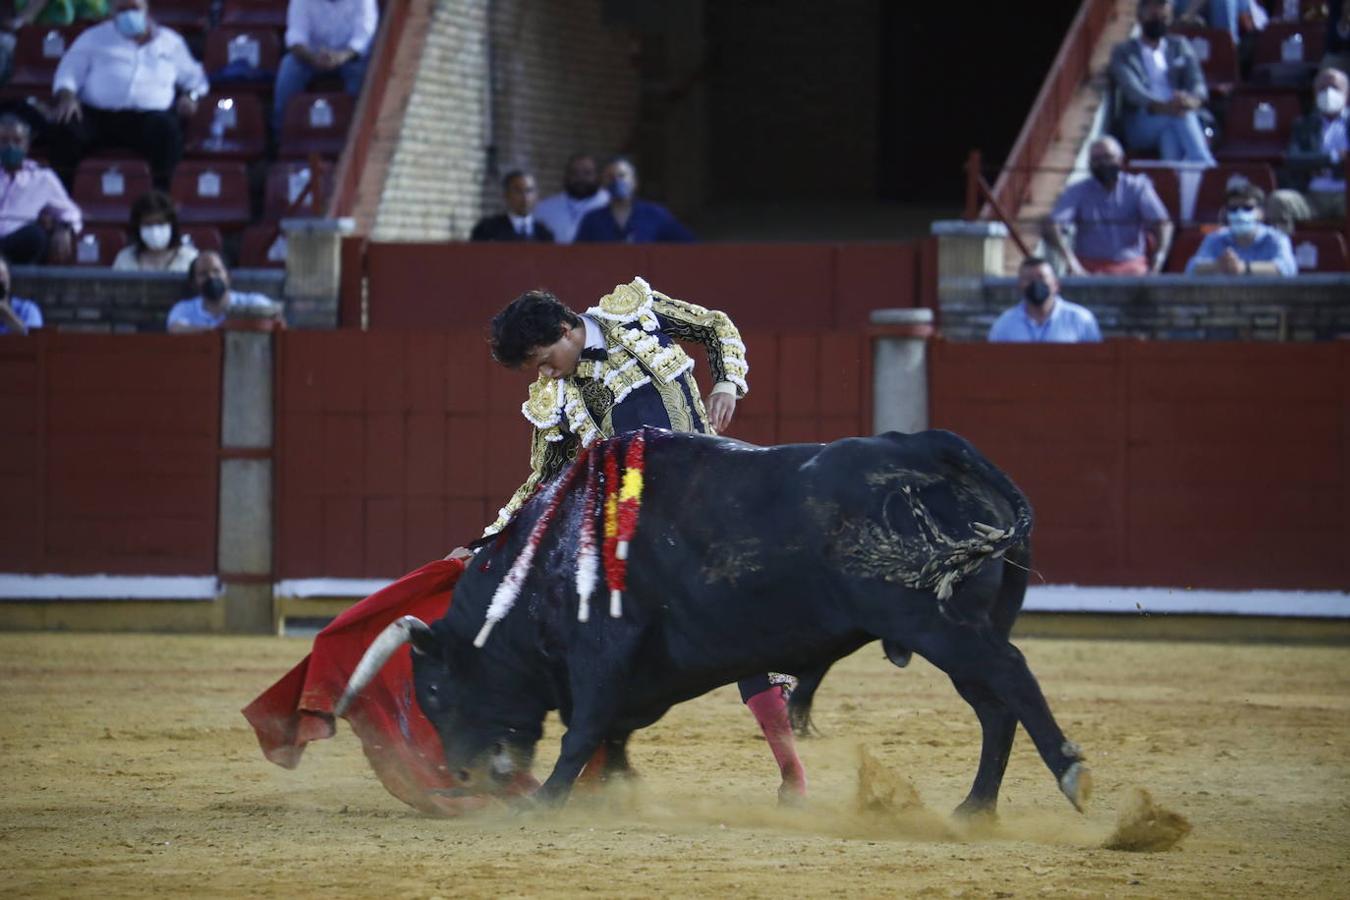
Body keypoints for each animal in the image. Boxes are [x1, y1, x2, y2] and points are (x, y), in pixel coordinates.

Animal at [337, 429, 1085, 814]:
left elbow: (583, 727)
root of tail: (939, 447)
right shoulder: (644, 672)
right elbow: (613, 730)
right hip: (960, 629)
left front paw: (547, 798)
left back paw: (1071, 776)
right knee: (995, 708)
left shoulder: (602, 649)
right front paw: (615, 789)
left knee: (1012, 680)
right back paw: (975, 807)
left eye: (434, 691)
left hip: (937, 624)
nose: (460, 774)